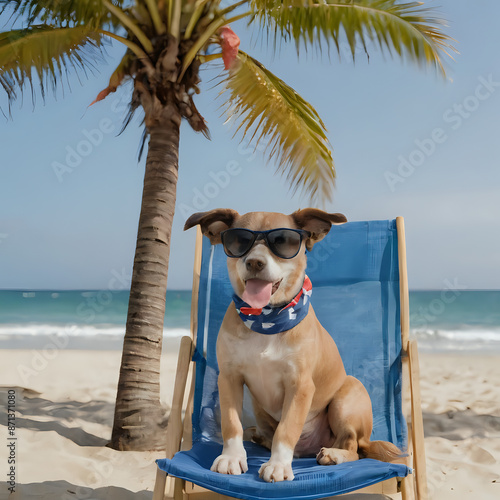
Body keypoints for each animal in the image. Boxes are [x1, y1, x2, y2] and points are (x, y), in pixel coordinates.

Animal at [184, 207, 402, 480]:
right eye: (239, 241)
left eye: (282, 241)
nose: (255, 262)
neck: (266, 320)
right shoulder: (229, 378)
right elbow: (232, 424)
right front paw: (232, 457)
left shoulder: (300, 385)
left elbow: (287, 429)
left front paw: (278, 464)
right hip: (260, 408)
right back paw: (259, 437)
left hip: (346, 398)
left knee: (353, 446)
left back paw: (335, 454)